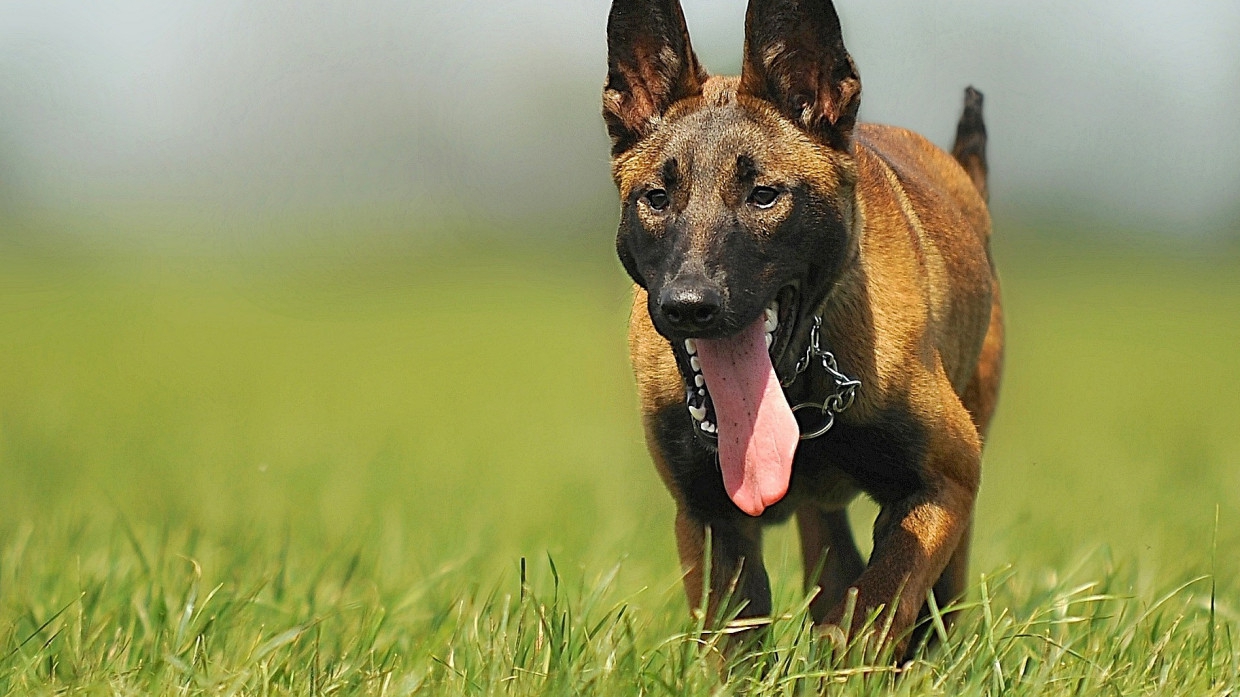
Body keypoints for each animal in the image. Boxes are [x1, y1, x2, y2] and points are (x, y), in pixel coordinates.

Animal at [605, 0, 1001, 654]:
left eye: (764, 195)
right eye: (657, 197)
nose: (689, 305)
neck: (799, 385)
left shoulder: (945, 481)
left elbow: (881, 600)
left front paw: (852, 658)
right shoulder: (709, 516)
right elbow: (740, 638)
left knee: (930, 604)